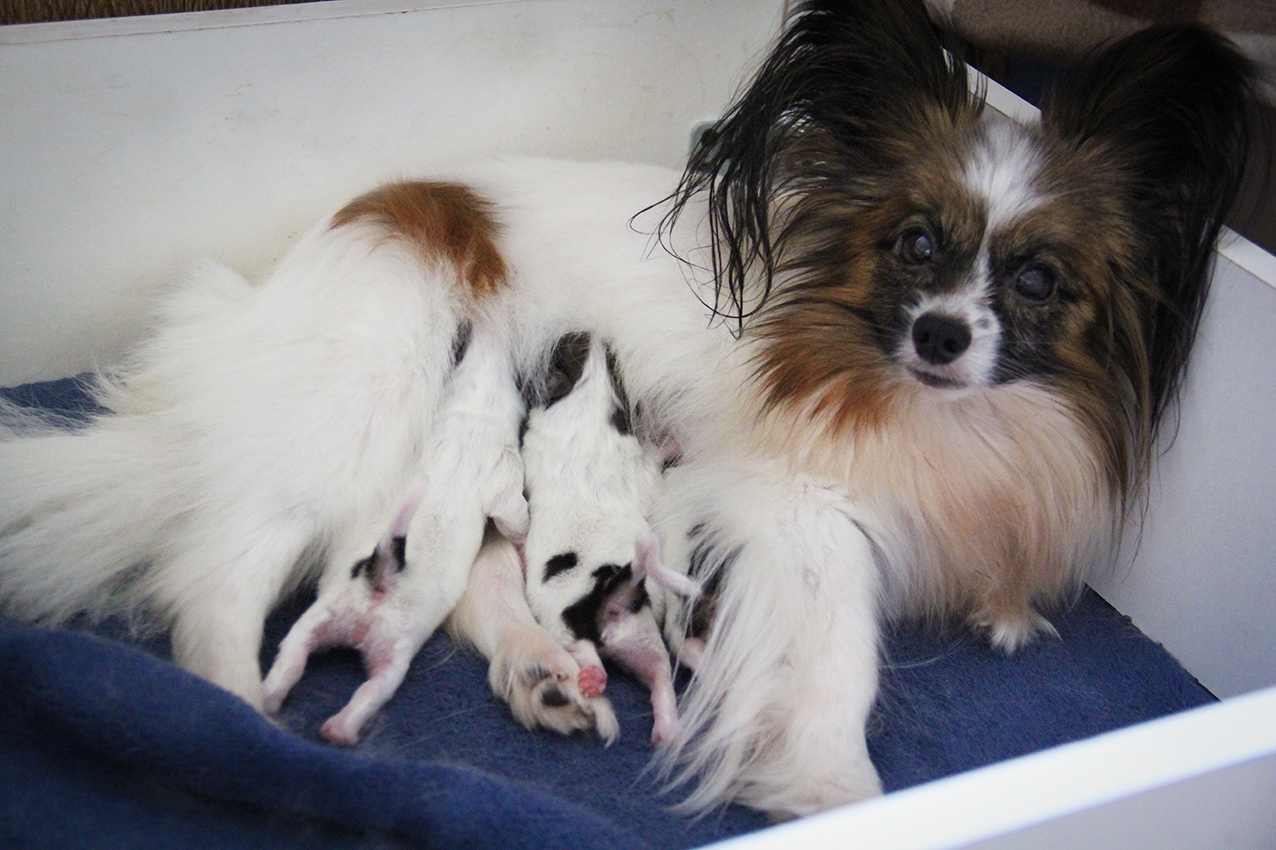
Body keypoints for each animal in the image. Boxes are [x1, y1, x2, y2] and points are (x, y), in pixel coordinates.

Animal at [0, 1, 1255, 821]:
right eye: (913, 245)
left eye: (1037, 280)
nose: (943, 335)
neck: (910, 399)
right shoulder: (799, 512)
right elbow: (834, 660)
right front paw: (835, 790)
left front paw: (1003, 610)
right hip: (358, 419)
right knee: (218, 573)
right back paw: (229, 717)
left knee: (467, 587)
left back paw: (543, 676)